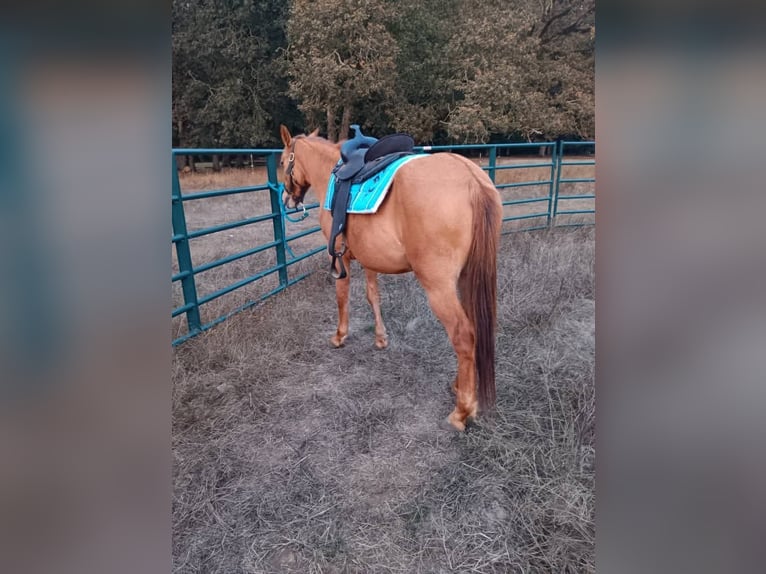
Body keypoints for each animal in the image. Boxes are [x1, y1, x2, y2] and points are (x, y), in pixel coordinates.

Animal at [279, 125, 502, 431]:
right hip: (468, 278)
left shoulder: (339, 255)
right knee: (475, 329)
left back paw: (462, 411)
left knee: (463, 335)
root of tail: (471, 179)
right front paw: (381, 338)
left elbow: (342, 296)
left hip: (439, 287)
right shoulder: (369, 257)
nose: (287, 199)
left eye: (281, 162)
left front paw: (339, 335)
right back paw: (459, 386)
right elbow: (373, 296)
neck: (331, 172)